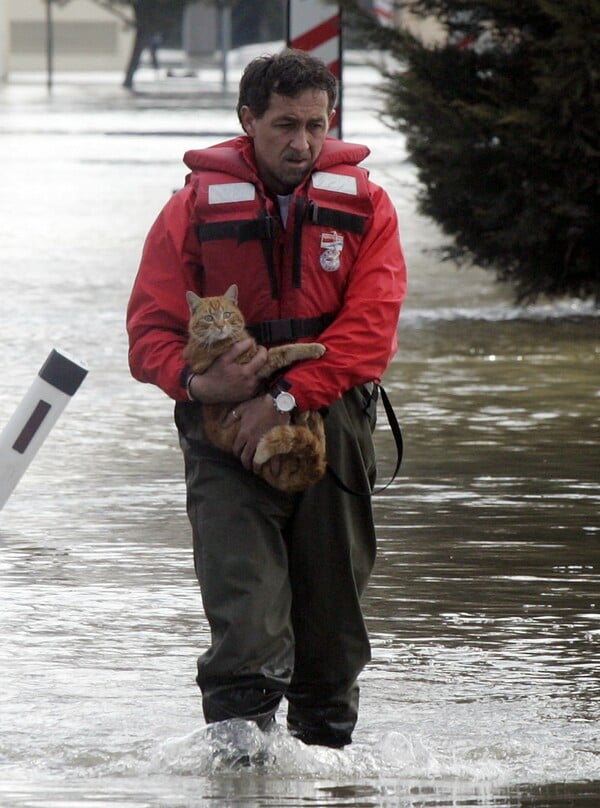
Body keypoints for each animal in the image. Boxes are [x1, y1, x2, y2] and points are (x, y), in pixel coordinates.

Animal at [184, 284, 328, 492]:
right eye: (209, 318)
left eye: (227, 314)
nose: (220, 326)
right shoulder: (256, 362)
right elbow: (285, 350)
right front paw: (314, 347)